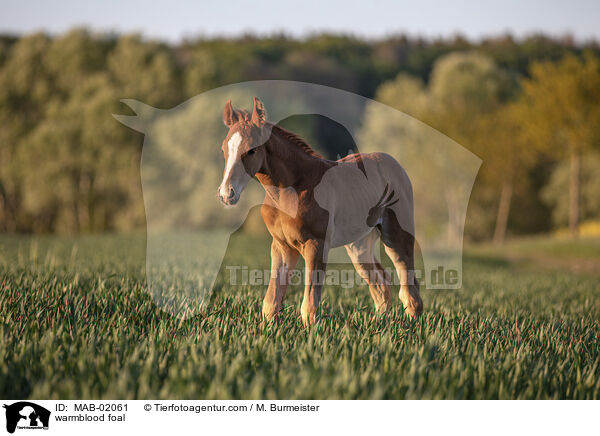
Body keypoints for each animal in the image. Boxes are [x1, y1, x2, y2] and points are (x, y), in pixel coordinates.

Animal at [217, 97, 422, 326]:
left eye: (252, 150)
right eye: (224, 150)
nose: (227, 193)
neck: (292, 188)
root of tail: (395, 165)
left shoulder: (316, 244)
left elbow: (309, 304)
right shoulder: (281, 246)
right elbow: (271, 302)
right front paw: (269, 330)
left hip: (396, 237)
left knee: (409, 287)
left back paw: (411, 327)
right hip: (359, 246)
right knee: (381, 284)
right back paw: (380, 325)